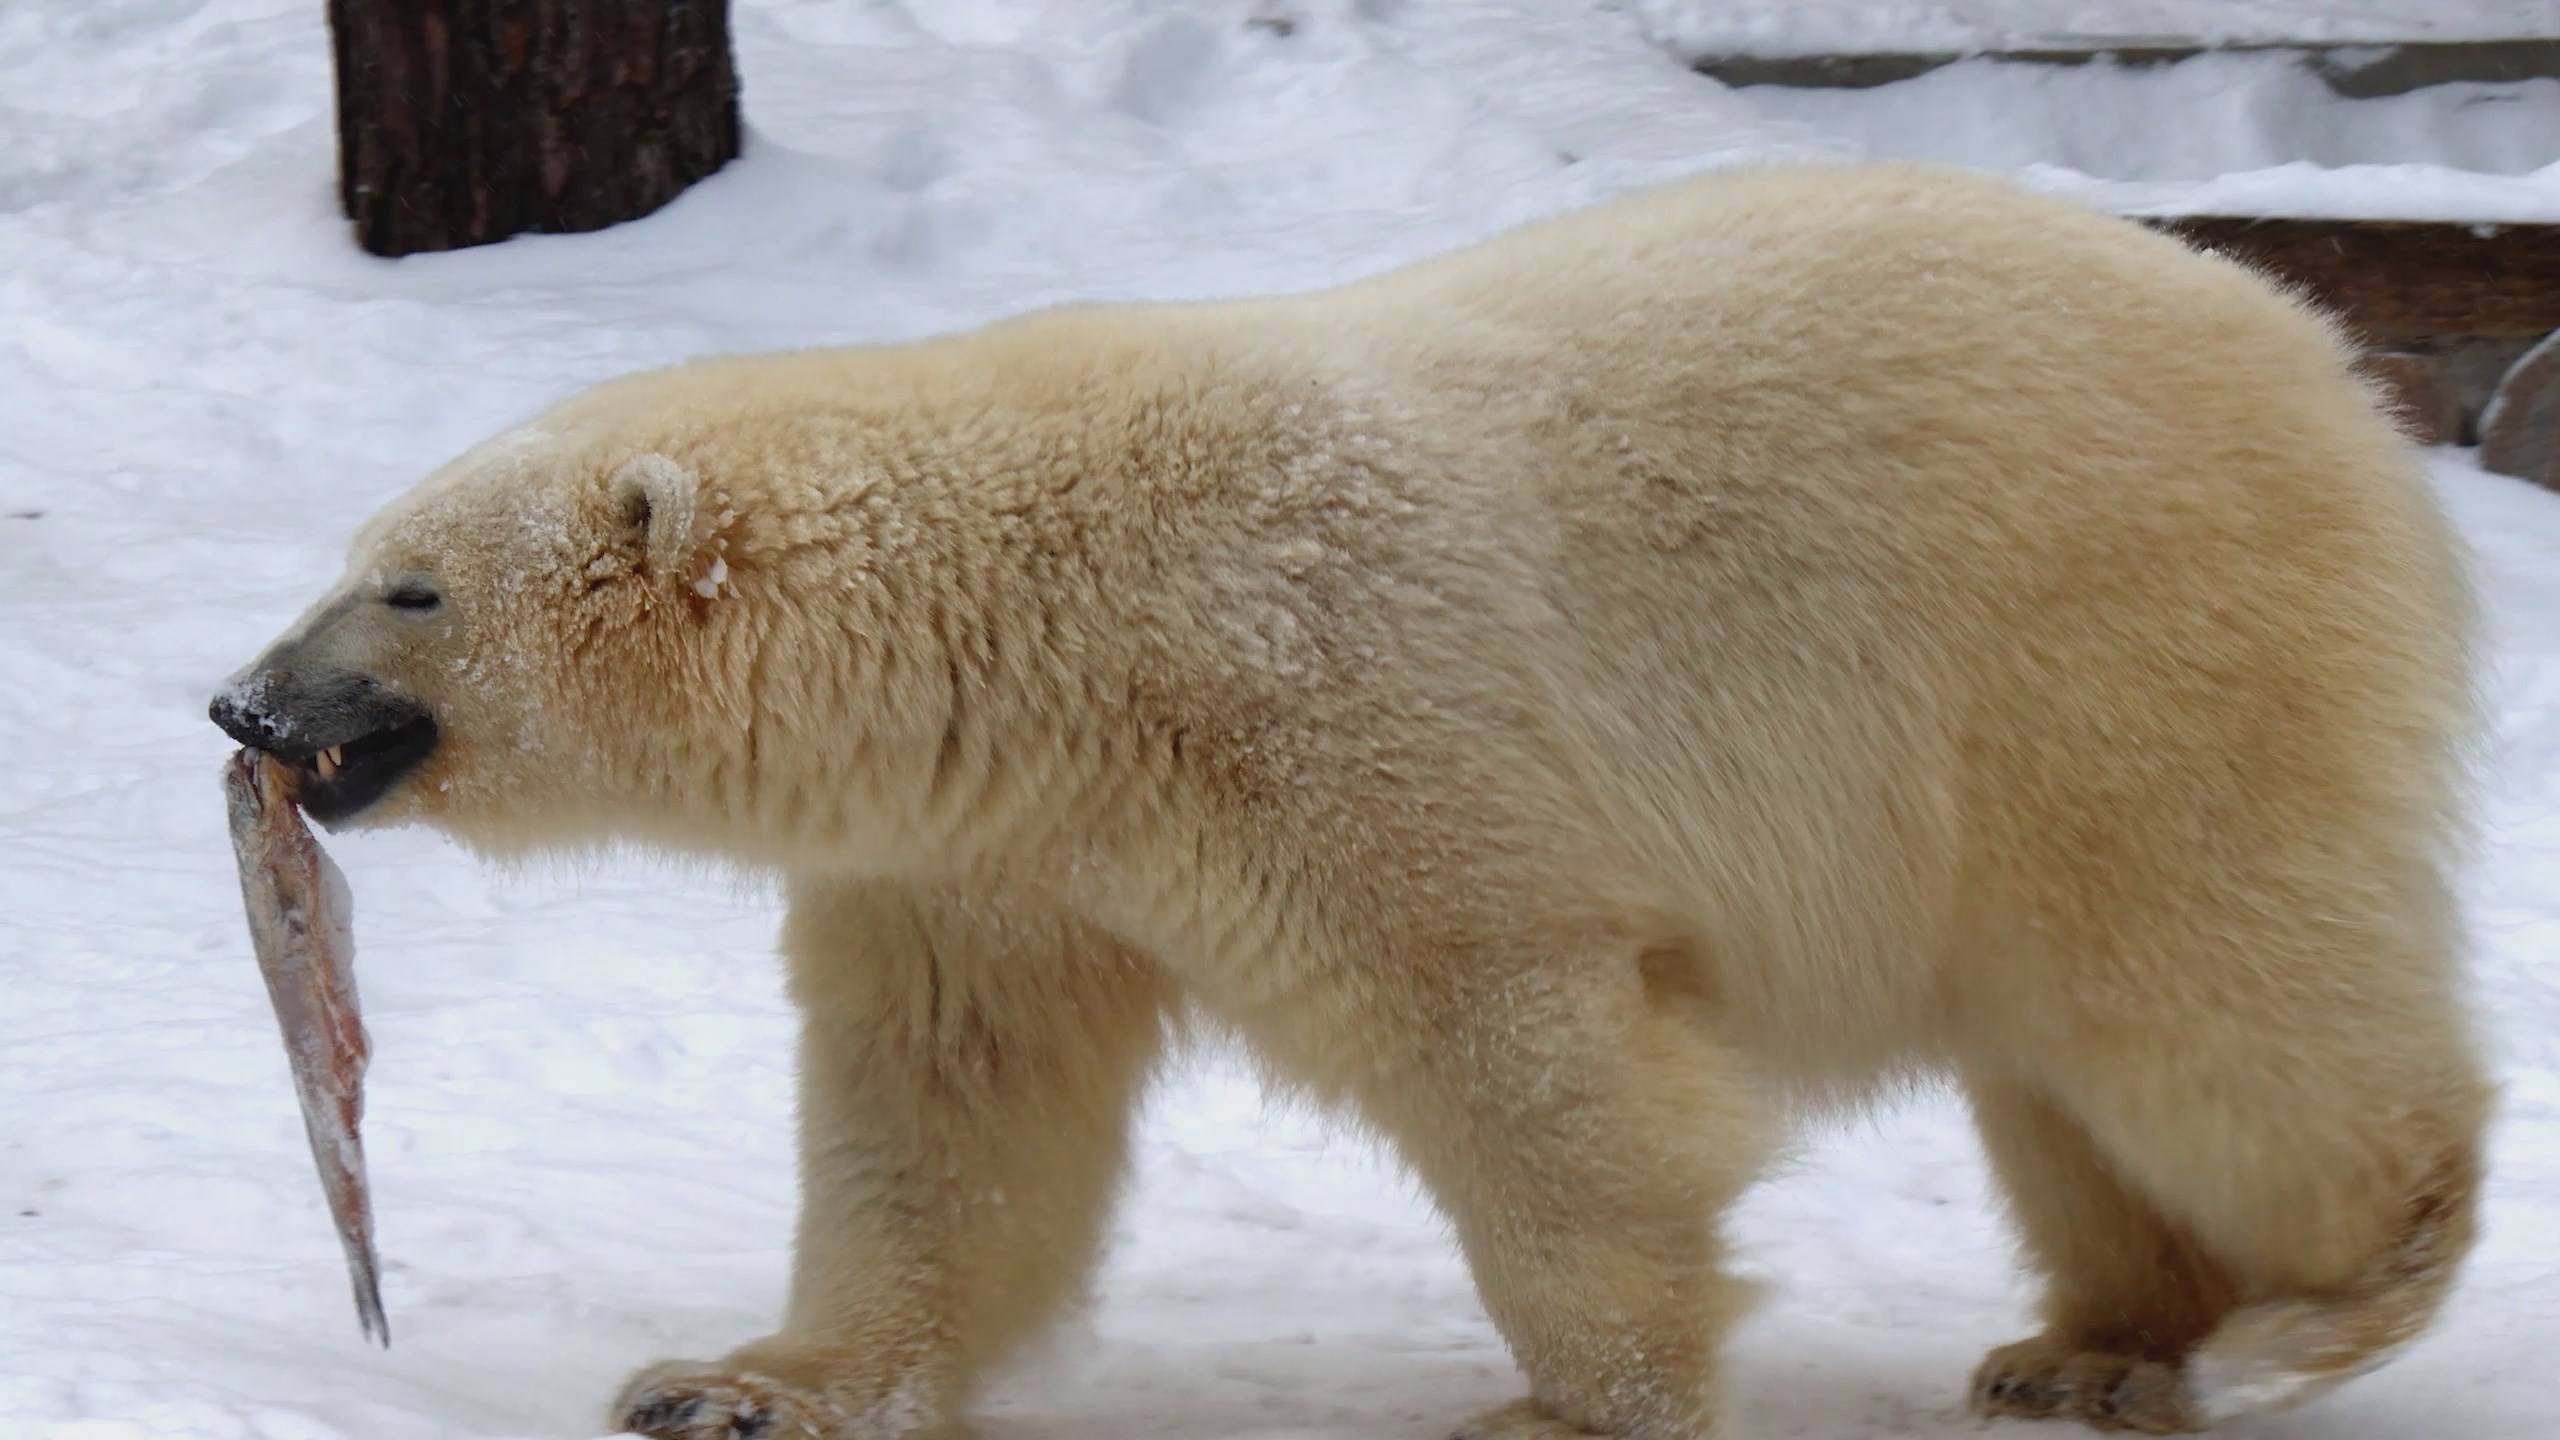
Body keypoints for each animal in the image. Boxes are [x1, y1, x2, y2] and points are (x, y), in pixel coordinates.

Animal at [209, 162, 2488, 1424]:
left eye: (407, 583)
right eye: (359, 548)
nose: (240, 705)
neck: (1037, 616)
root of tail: (2322, 357)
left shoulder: (1324, 707)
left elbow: (1515, 1037)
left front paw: (1577, 1406)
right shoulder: (986, 854)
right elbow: (944, 1111)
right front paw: (737, 1387)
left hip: (2103, 656)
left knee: (2208, 999)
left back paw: (2340, 1292)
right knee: (2076, 1070)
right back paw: (2094, 1346)